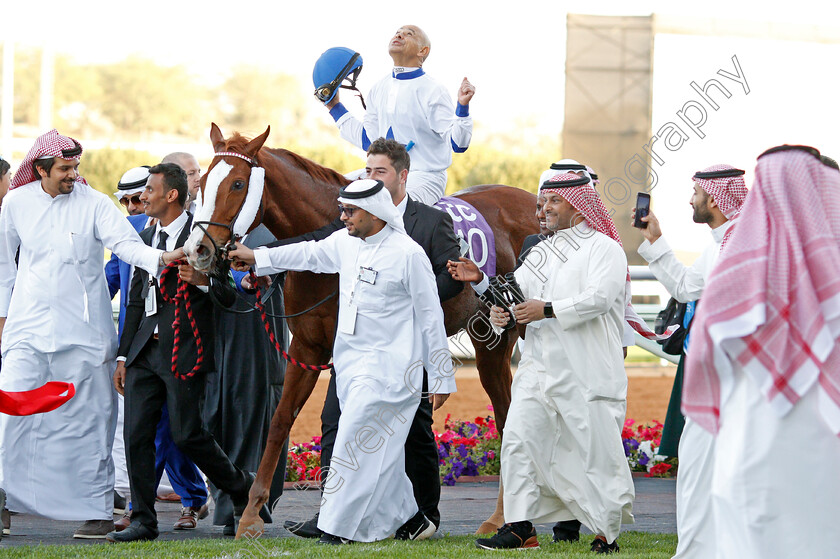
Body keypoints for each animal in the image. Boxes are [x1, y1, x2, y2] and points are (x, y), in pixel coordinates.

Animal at [185, 124, 540, 540]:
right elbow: (282, 421)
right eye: (203, 182)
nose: (198, 250)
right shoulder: (306, 348)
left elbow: (342, 418)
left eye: (239, 183)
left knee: (505, 415)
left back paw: (500, 517)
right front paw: (254, 514)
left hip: (495, 341)